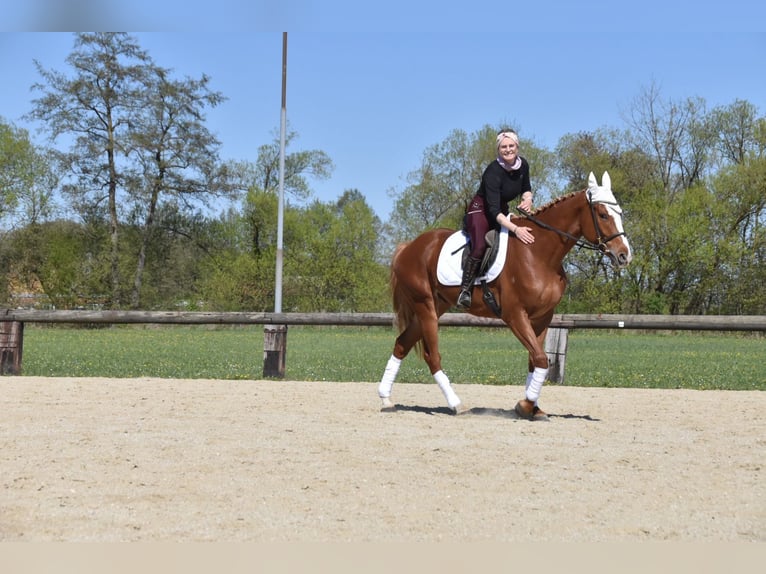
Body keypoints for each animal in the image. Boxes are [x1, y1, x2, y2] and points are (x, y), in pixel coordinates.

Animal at [377, 171, 632, 420]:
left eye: (619, 212)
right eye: (603, 215)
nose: (624, 256)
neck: (539, 252)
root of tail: (409, 247)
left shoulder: (542, 317)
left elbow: (535, 361)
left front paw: (533, 407)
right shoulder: (515, 315)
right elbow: (541, 359)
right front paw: (525, 405)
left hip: (433, 307)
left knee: (401, 344)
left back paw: (386, 399)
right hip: (425, 307)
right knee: (432, 356)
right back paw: (457, 405)